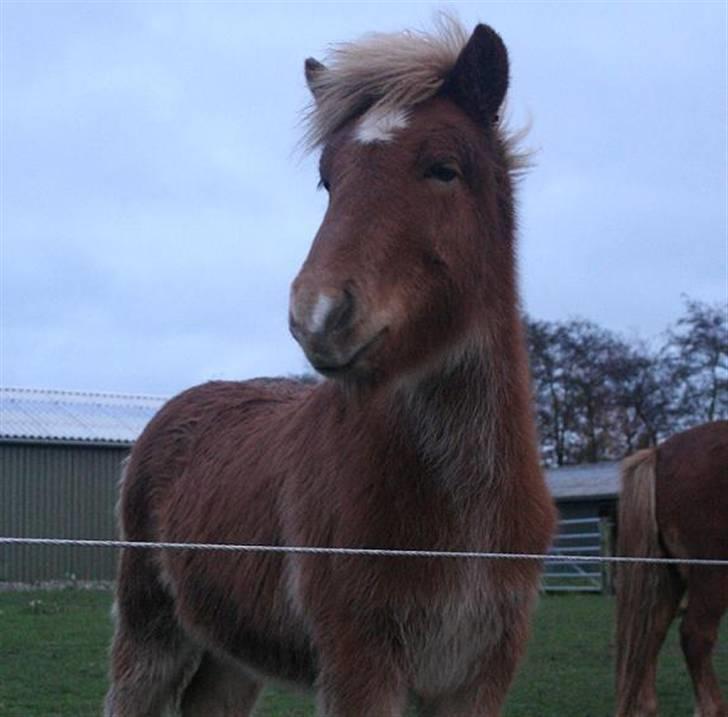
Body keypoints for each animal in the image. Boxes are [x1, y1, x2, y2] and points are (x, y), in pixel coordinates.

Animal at [105, 18, 556, 716]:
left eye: (445, 169)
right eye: (327, 180)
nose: (315, 314)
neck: (462, 514)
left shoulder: (480, 675)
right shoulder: (358, 664)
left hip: (231, 655)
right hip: (150, 633)